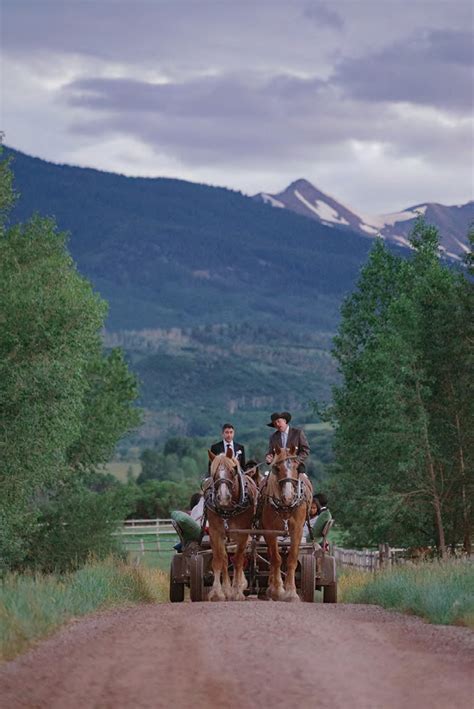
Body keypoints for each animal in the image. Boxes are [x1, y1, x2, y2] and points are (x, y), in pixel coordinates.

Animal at [204, 448, 256, 596]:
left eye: (233, 471)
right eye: (213, 473)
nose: (223, 497)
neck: (228, 509)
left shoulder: (243, 533)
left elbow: (238, 559)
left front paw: (237, 590)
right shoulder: (215, 532)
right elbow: (220, 560)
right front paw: (219, 592)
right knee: (225, 558)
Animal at [260, 446, 312, 600]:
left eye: (297, 467)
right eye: (277, 468)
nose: (288, 497)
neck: (285, 506)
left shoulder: (297, 529)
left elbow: (292, 558)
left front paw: (291, 592)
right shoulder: (270, 531)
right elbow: (276, 559)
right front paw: (278, 590)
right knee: (271, 555)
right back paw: (271, 588)